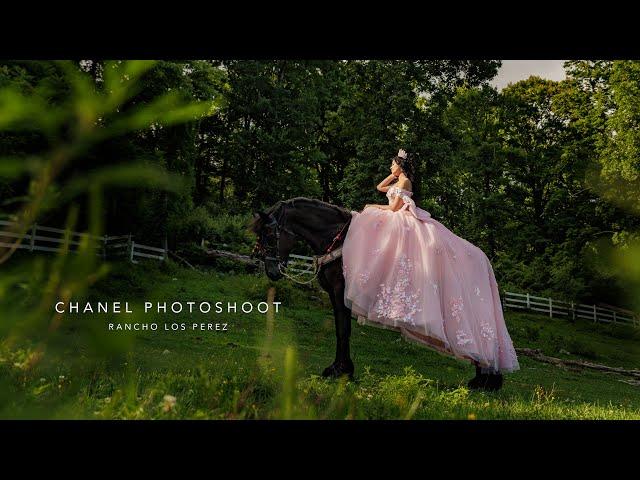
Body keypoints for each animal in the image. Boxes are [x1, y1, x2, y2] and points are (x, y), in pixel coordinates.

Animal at [248, 196, 502, 390]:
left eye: (269, 235)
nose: (271, 271)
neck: (337, 237)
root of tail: (483, 260)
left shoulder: (341, 291)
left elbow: (343, 330)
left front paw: (342, 371)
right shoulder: (333, 293)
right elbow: (340, 329)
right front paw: (340, 368)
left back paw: (486, 380)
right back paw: (483, 380)